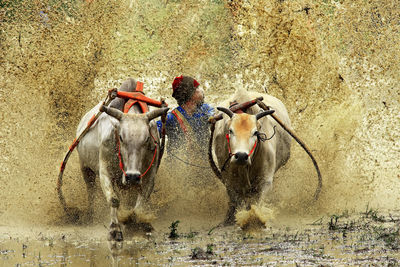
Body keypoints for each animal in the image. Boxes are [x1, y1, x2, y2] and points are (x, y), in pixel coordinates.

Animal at [76, 91, 167, 245]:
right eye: (121, 137)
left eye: (147, 139)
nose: (132, 176)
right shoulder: (104, 172)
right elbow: (114, 200)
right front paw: (115, 230)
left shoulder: (149, 175)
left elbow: (140, 204)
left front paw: (138, 225)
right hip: (86, 168)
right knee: (91, 191)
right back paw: (90, 215)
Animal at [211, 91, 292, 225]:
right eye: (230, 131)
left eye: (255, 133)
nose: (241, 156)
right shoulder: (229, 181)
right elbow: (238, 200)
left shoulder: (265, 180)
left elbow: (257, 202)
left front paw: (256, 218)